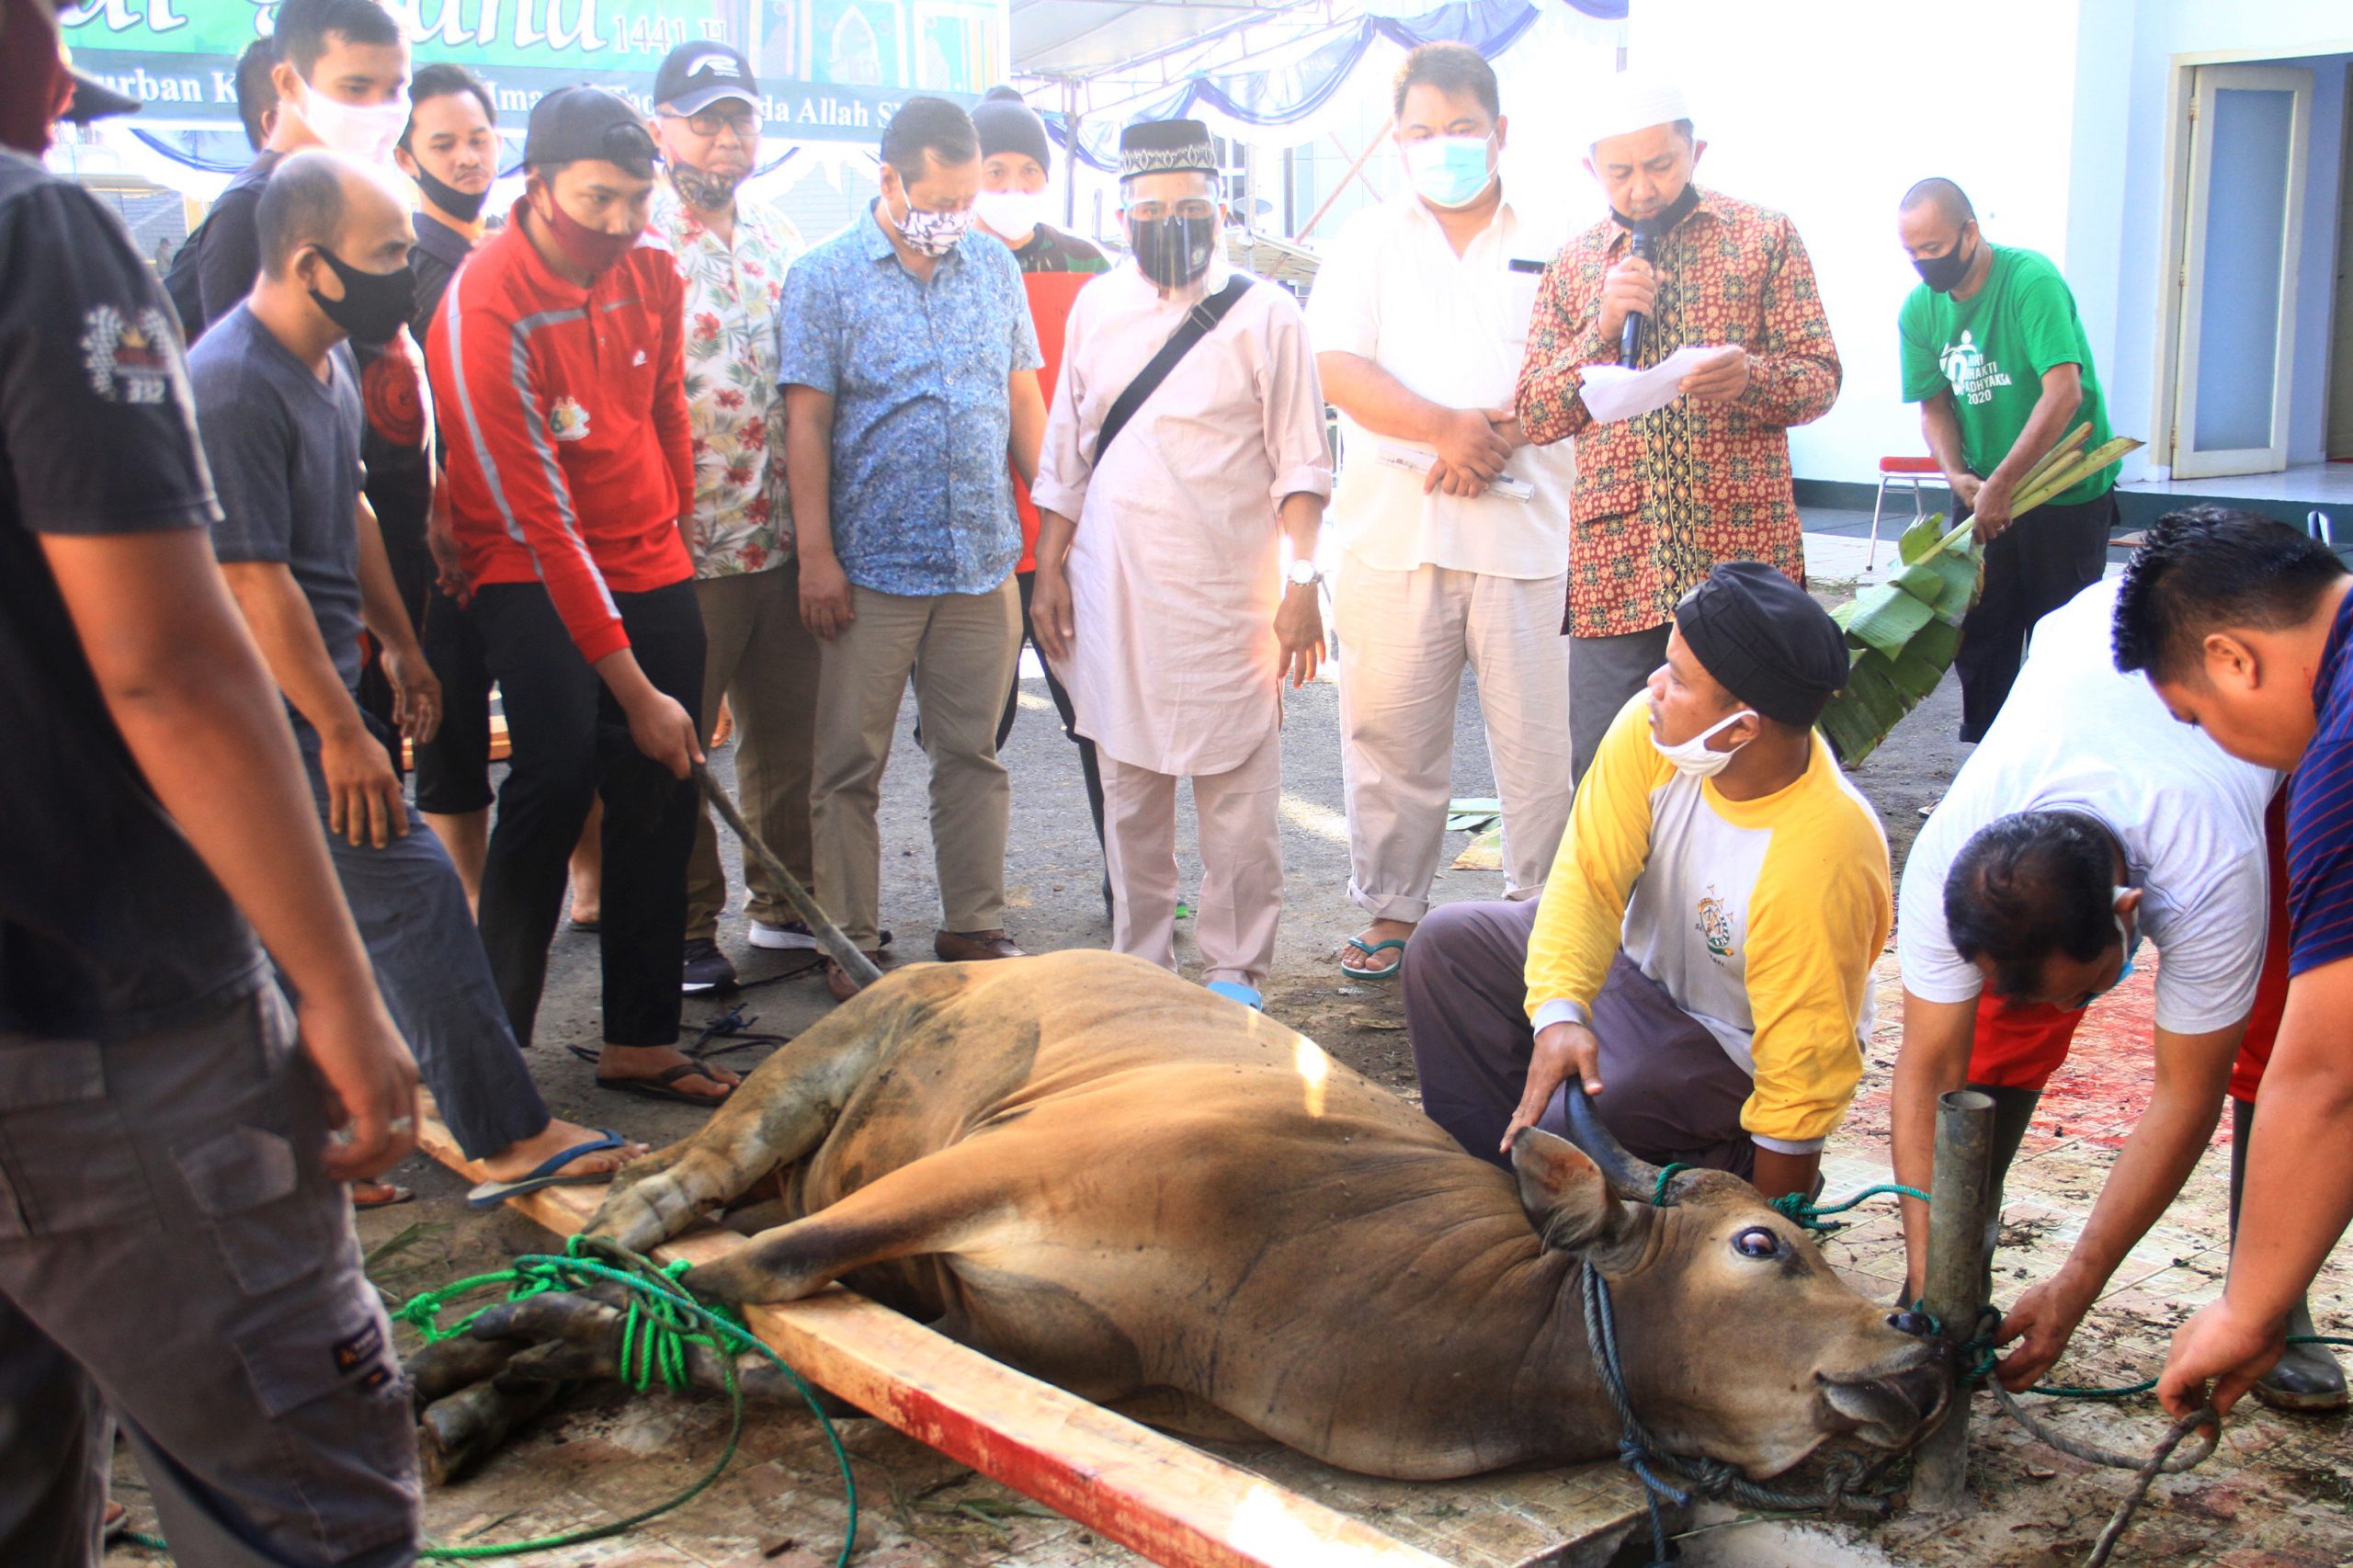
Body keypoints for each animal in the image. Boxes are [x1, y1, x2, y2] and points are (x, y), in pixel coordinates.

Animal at [409, 950, 1948, 1478]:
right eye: (1761, 1242)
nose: (1921, 1348)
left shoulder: (1010, 1333)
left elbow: (743, 1342)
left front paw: (499, 1373)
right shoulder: (988, 1175)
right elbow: (748, 1276)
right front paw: (477, 1346)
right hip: (829, 1056)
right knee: (684, 1190)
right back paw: (590, 1231)